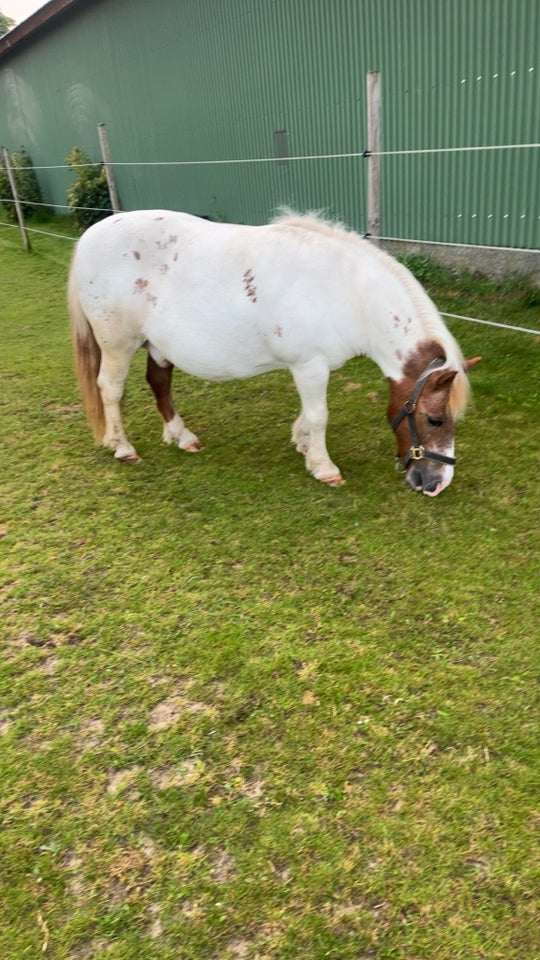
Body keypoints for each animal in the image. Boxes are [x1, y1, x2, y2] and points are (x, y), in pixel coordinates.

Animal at [68, 209, 480, 496]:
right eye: (436, 420)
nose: (438, 482)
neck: (348, 291)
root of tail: (89, 239)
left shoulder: (311, 367)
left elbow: (309, 413)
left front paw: (303, 444)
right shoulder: (309, 365)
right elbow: (319, 415)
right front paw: (323, 466)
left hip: (157, 346)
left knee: (158, 383)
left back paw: (181, 436)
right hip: (118, 344)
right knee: (110, 389)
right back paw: (122, 446)